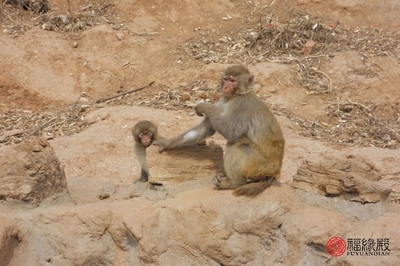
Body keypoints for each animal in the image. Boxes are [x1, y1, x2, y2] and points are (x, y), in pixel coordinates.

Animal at [154, 65, 284, 195]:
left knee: (236, 144)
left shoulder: (240, 105)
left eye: (233, 81)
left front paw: (205, 106)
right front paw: (166, 143)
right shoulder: (223, 101)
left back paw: (235, 183)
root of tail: (274, 173)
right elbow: (207, 128)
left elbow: (231, 132)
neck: (238, 94)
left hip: (259, 165)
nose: (225, 87)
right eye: (226, 79)